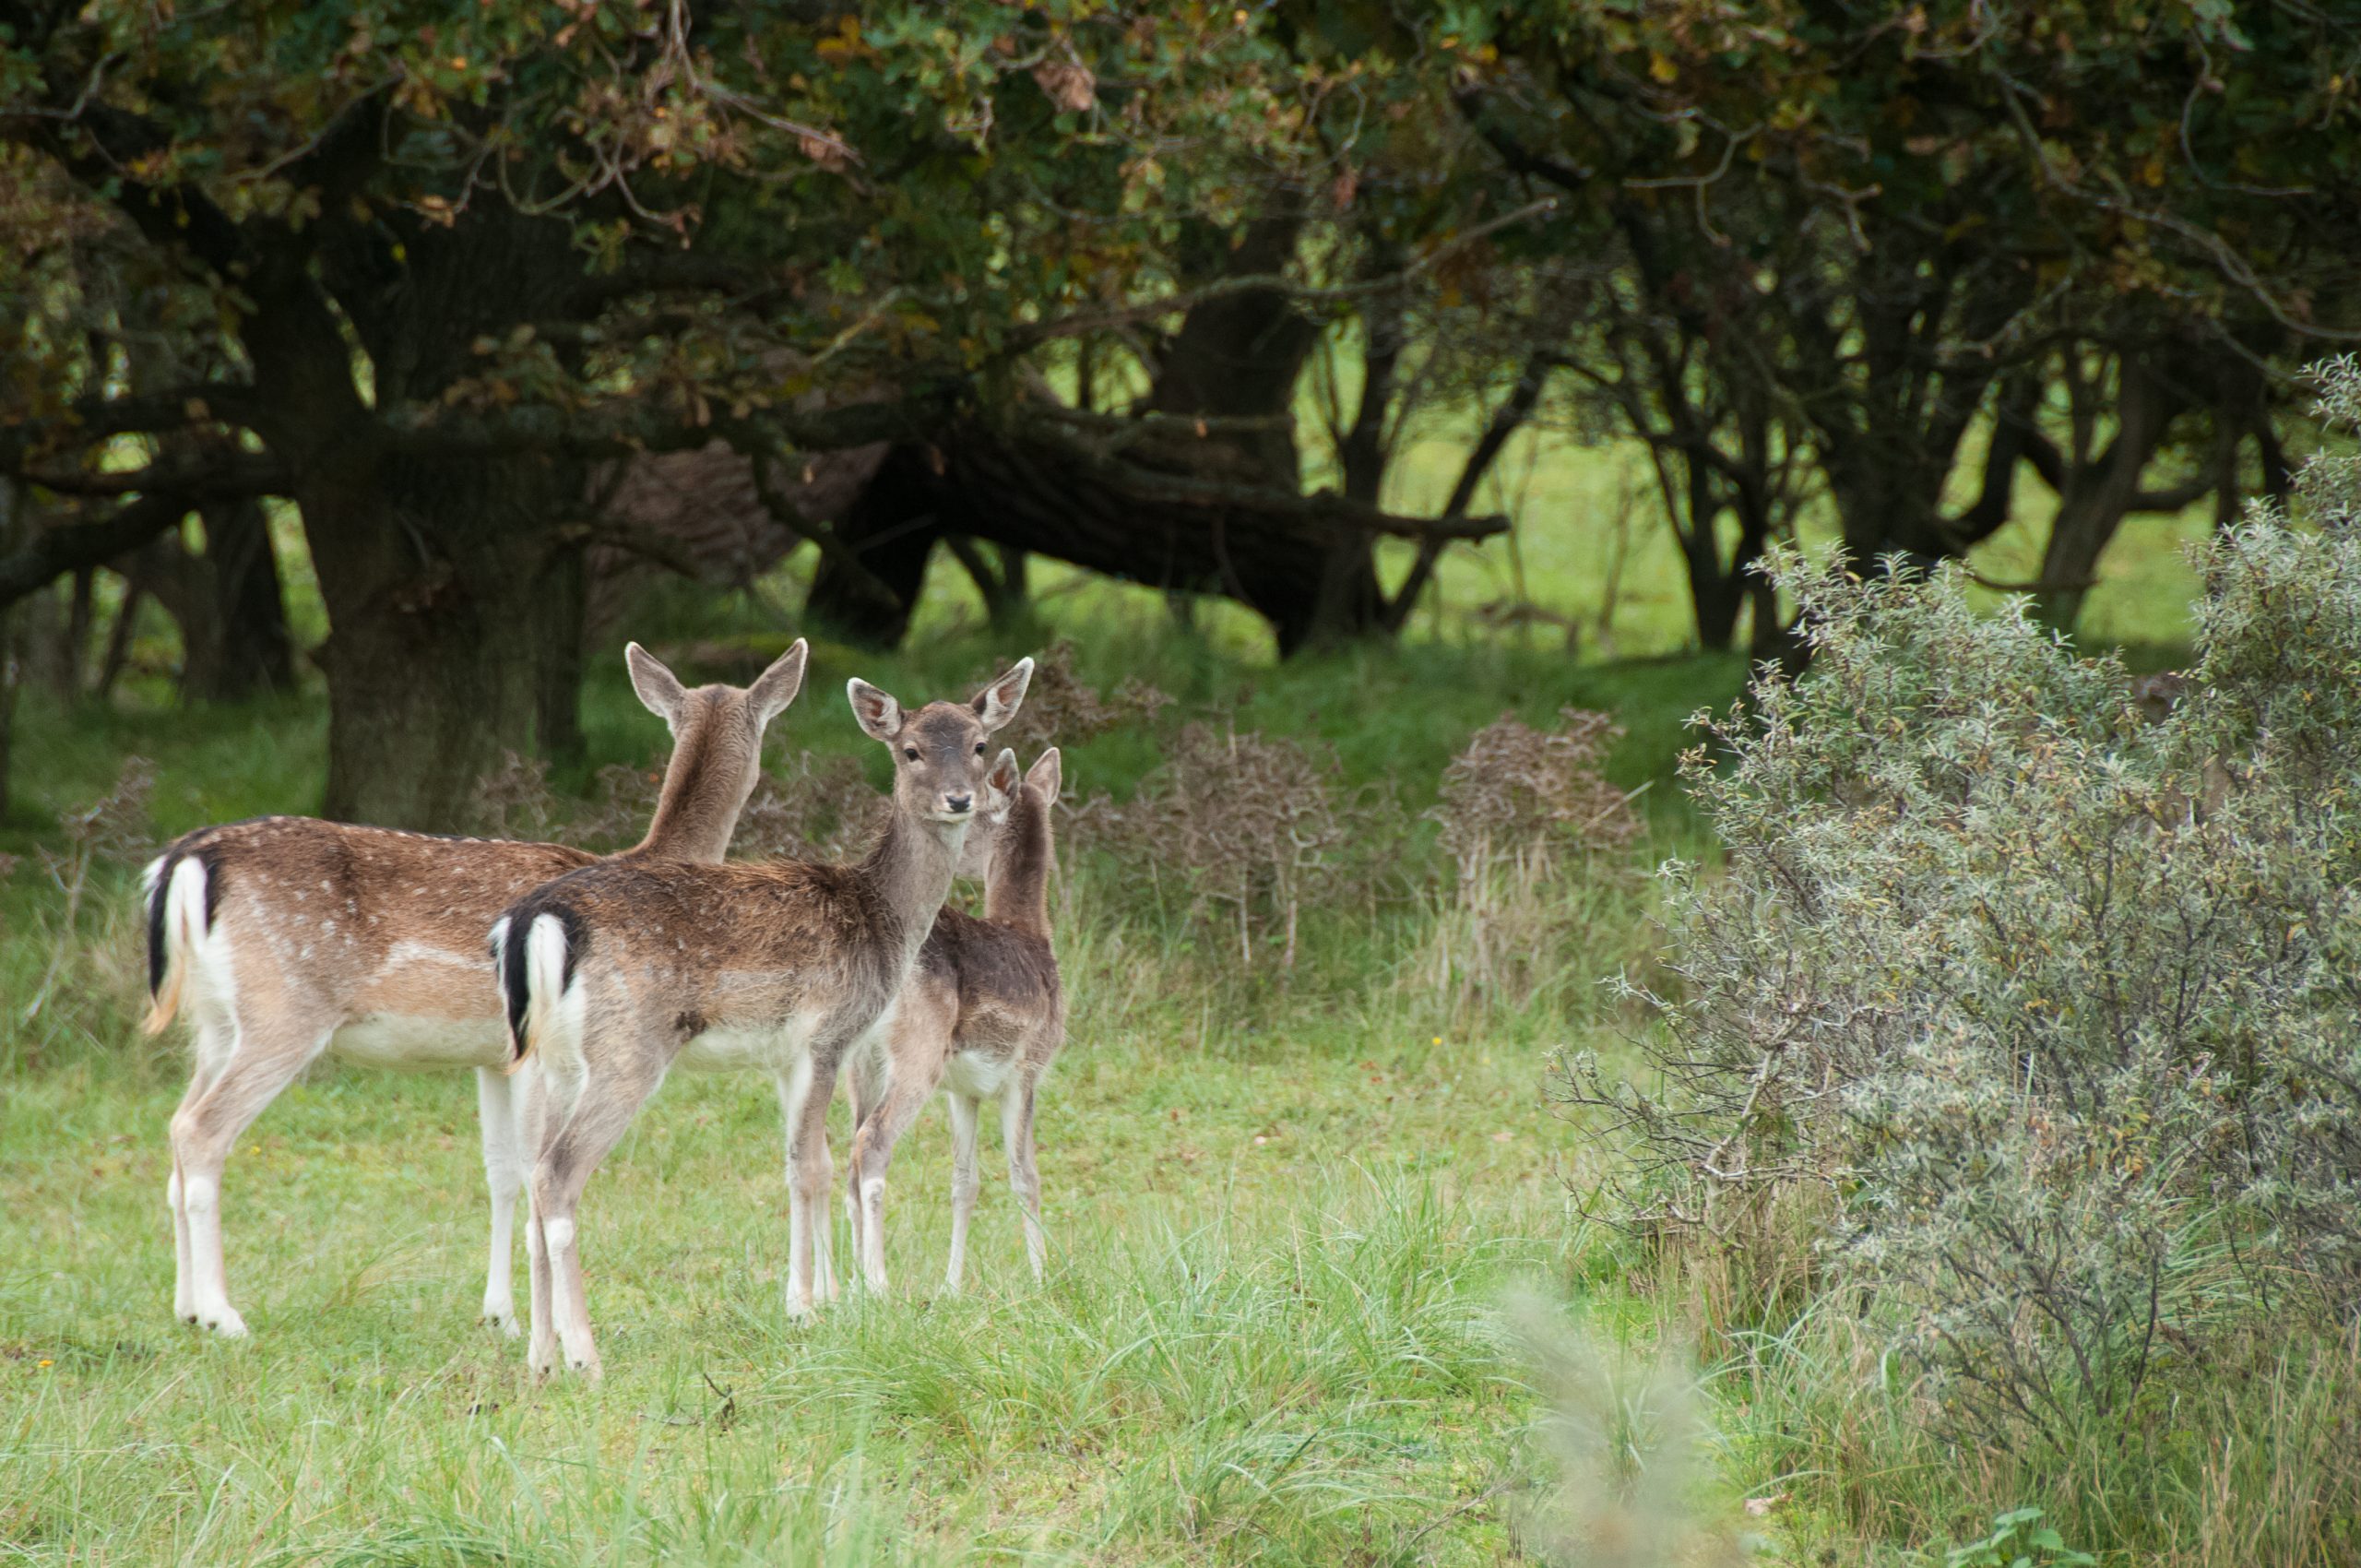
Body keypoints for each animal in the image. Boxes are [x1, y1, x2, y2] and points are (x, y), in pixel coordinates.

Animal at [148, 637, 812, 1331]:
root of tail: (186, 862)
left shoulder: (492, 1057)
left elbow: (499, 1171)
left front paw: (500, 1315)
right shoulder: (540, 1053)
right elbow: (530, 1167)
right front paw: (532, 1319)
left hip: (214, 1020)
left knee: (175, 1128)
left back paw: (185, 1308)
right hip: (284, 1009)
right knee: (201, 1131)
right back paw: (222, 1316)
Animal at [495, 656, 1034, 1379]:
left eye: (978, 744)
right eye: (911, 750)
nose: (958, 800)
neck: (883, 920)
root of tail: (536, 920)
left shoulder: (783, 1055)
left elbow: (800, 1163)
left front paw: (811, 1300)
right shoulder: (828, 1033)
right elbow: (814, 1166)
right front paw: (811, 1309)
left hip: (548, 1061)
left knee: (532, 1176)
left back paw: (540, 1356)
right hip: (627, 1050)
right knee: (557, 1174)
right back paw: (586, 1357)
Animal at [845, 746, 1067, 1294]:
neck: (1034, 934)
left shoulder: (963, 1089)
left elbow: (964, 1182)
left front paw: (951, 1287)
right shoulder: (1028, 1068)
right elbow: (1025, 1175)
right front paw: (1042, 1279)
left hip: (859, 1061)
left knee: (846, 1154)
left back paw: (850, 1287)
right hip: (918, 1051)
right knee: (872, 1142)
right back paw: (878, 1284)